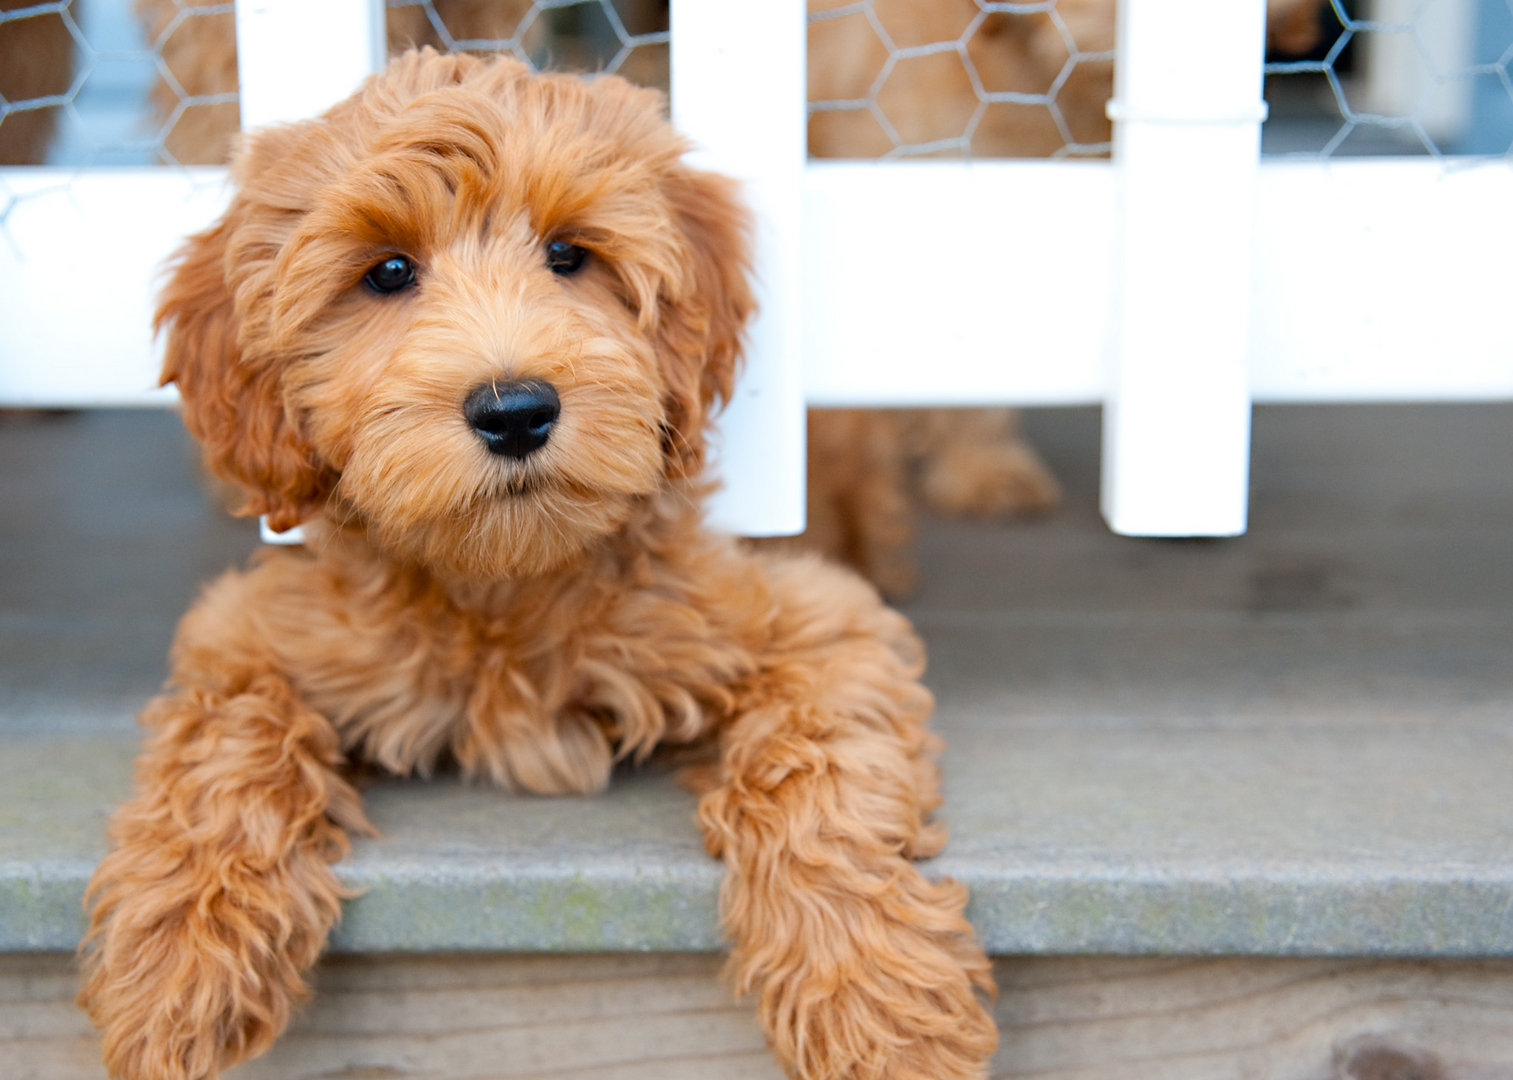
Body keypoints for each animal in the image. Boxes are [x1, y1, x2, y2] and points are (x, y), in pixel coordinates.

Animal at [85, 50, 1004, 1076]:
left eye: (570, 256)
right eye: (388, 271)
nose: (515, 409)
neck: (503, 585)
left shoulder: (813, 619)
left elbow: (818, 770)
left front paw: (874, 1001)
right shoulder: (249, 633)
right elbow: (222, 747)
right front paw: (177, 961)